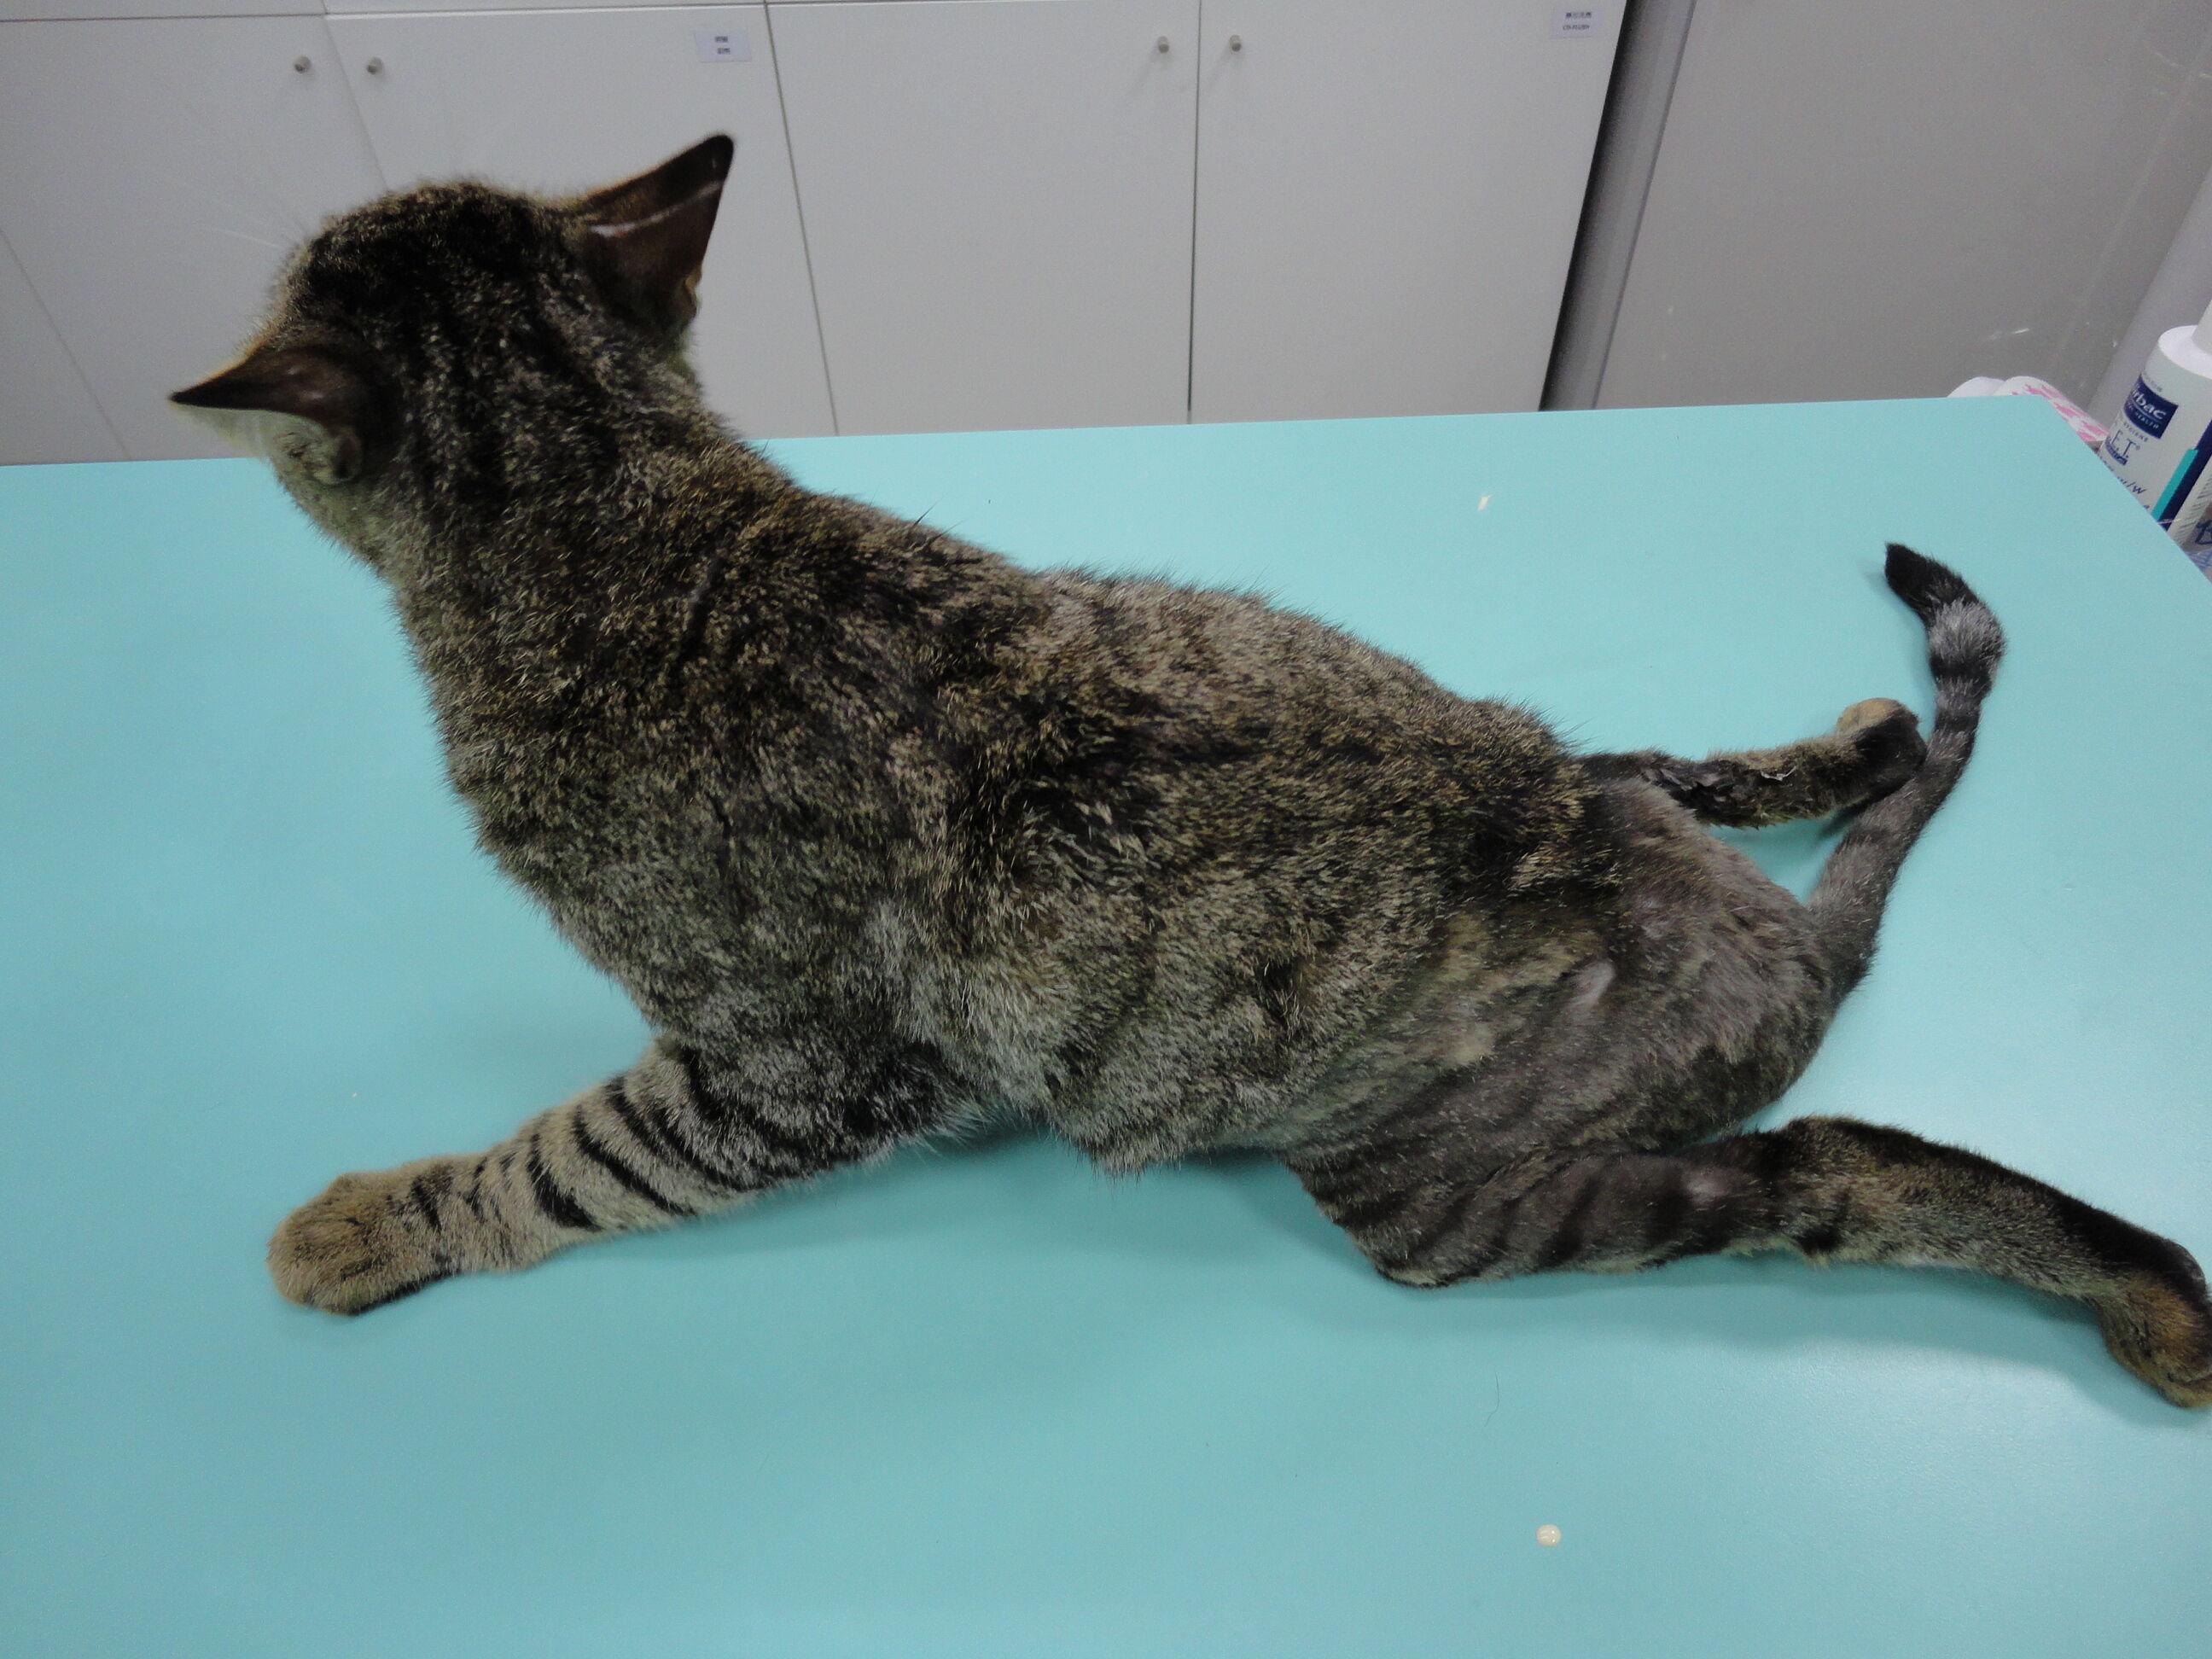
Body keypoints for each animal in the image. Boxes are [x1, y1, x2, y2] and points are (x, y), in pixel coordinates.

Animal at [174, 135, 2210, 1406]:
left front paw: (384, 1217)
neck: (630, 512)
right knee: (1711, 762)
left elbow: (576, 1157)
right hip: (1566, 763)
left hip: (1443, 1190)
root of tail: (1786, 942)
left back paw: (2137, 1287)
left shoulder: (796, 1062)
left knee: (1832, 1172)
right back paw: (1848, 735)